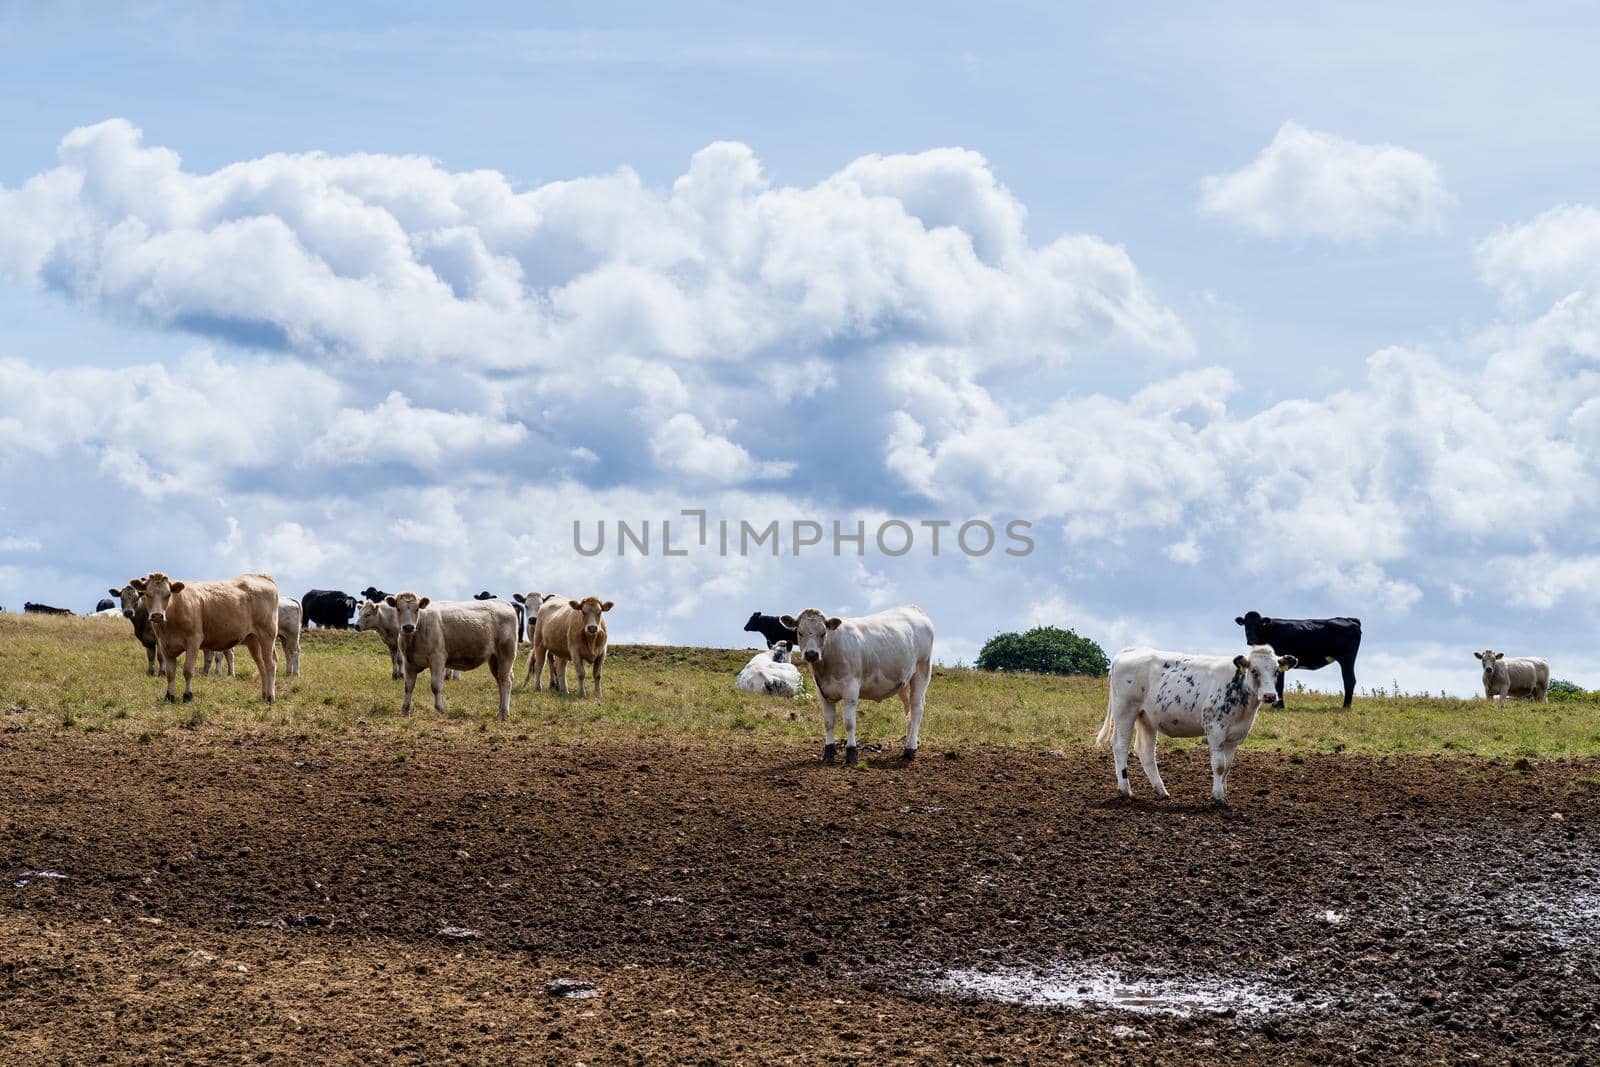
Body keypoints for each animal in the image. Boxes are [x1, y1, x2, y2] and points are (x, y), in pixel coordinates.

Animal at [134, 572, 281, 703]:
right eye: (147, 594)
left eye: (168, 594)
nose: (157, 615)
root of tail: (261, 576)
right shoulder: (164, 645)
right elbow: (170, 673)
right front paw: (169, 696)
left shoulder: (193, 641)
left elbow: (188, 670)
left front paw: (188, 696)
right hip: (253, 640)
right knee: (261, 664)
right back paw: (264, 694)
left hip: (267, 635)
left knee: (270, 664)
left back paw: (270, 697)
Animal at [384, 591, 515, 716]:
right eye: (398, 608)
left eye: (417, 609)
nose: (408, 627)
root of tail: (504, 603)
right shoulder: (408, 662)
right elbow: (408, 686)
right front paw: (405, 709)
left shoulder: (437, 659)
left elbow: (436, 686)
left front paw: (440, 709)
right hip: (494, 659)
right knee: (500, 680)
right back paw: (501, 710)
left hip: (506, 654)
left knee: (506, 680)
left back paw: (503, 712)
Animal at [777, 601, 934, 767]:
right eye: (800, 632)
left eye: (823, 633)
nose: (811, 654)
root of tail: (913, 608)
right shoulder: (822, 691)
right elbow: (828, 722)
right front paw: (829, 752)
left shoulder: (851, 688)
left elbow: (849, 722)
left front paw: (851, 753)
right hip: (904, 682)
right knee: (908, 710)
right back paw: (909, 744)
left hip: (922, 670)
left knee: (917, 708)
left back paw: (910, 750)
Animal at [1100, 643, 1299, 809]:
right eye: (1254, 671)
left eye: (1276, 671)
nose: (1270, 696)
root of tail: (1131, 650)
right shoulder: (1215, 729)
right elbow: (1219, 765)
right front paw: (1217, 797)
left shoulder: (1235, 736)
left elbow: (1227, 766)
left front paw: (1224, 794)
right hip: (1125, 710)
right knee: (1120, 746)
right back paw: (1125, 790)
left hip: (1147, 718)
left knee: (1146, 751)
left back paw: (1161, 791)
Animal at [1228, 607, 1356, 710]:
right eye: (1246, 624)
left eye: (1259, 624)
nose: (1251, 639)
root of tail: (1349, 619)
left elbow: (1279, 684)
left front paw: (1278, 706)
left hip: (1347, 658)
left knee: (1349, 680)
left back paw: (1346, 706)